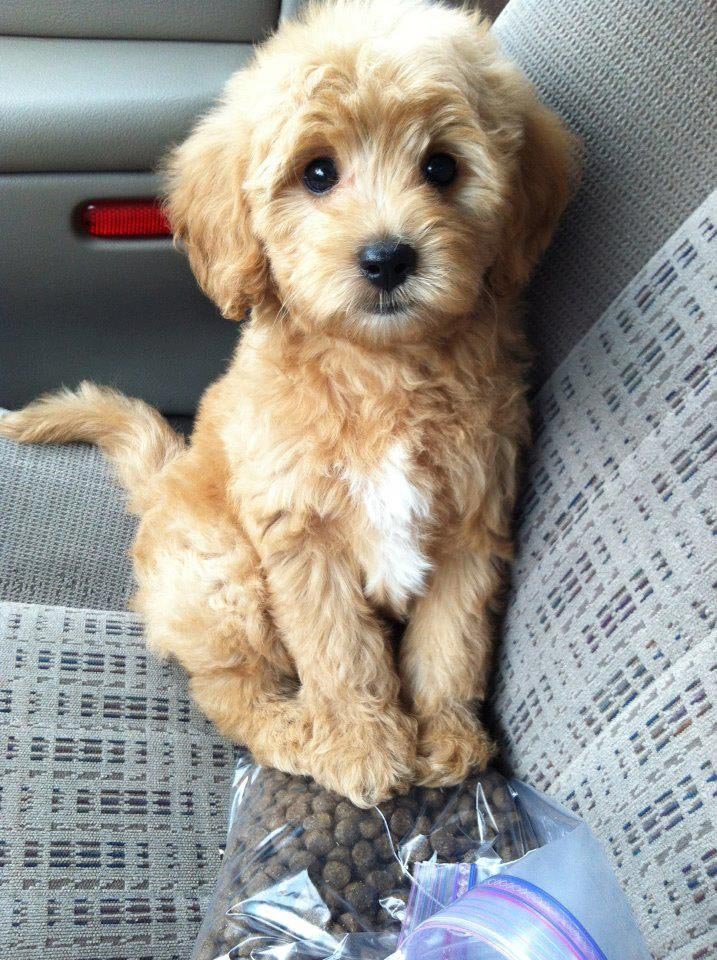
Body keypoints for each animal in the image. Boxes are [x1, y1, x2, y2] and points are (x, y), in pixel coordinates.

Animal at [0, 0, 572, 808]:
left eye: (441, 166)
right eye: (318, 172)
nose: (388, 258)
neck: (380, 372)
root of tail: (160, 486)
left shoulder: (472, 522)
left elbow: (450, 640)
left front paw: (445, 736)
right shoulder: (300, 533)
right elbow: (339, 648)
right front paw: (362, 742)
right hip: (221, 572)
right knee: (229, 690)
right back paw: (296, 730)